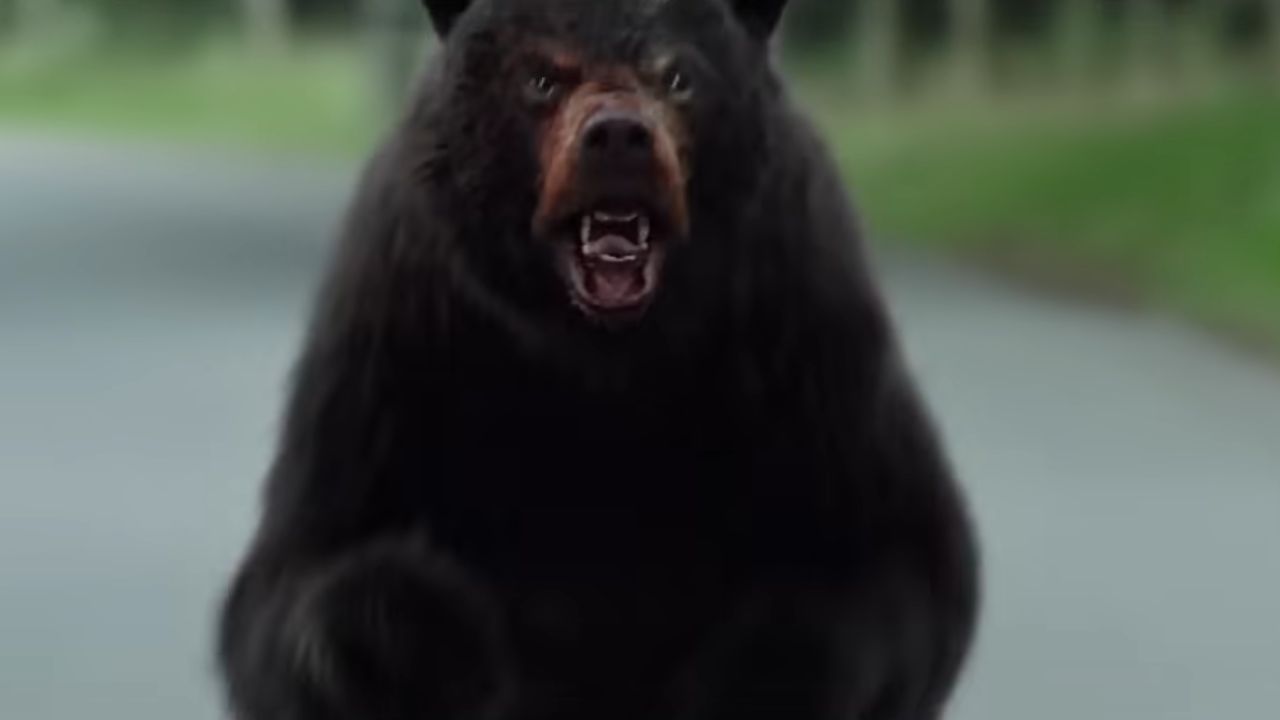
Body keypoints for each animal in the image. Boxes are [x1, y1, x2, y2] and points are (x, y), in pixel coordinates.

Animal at [217, 1, 980, 719]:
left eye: (679, 76)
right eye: (541, 78)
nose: (618, 136)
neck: (601, 349)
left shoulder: (803, 321)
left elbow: (893, 556)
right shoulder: (402, 328)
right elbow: (310, 568)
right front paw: (424, 647)